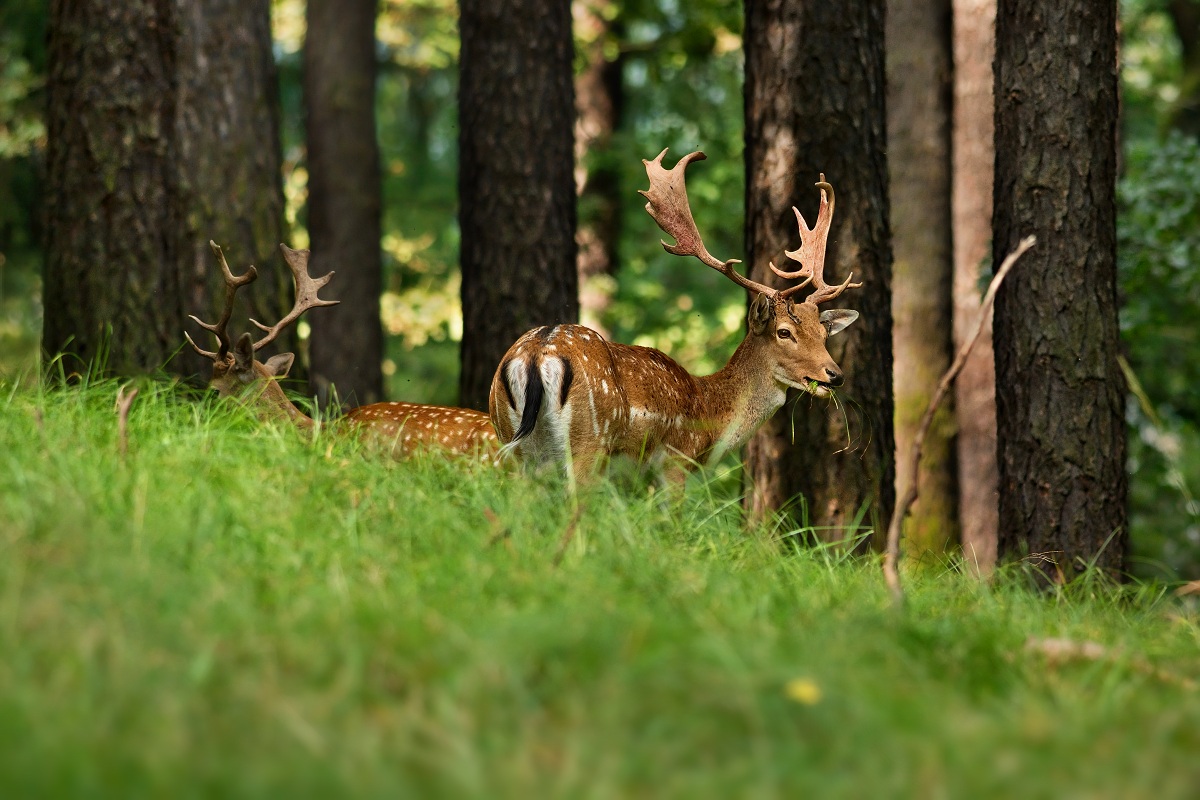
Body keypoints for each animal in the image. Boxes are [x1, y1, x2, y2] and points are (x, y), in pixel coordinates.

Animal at [487, 149, 864, 489]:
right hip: (589, 442)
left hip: (514, 445)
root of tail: (537, 355)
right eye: (784, 332)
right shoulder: (675, 461)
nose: (835, 374)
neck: (708, 416)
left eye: (824, 333)